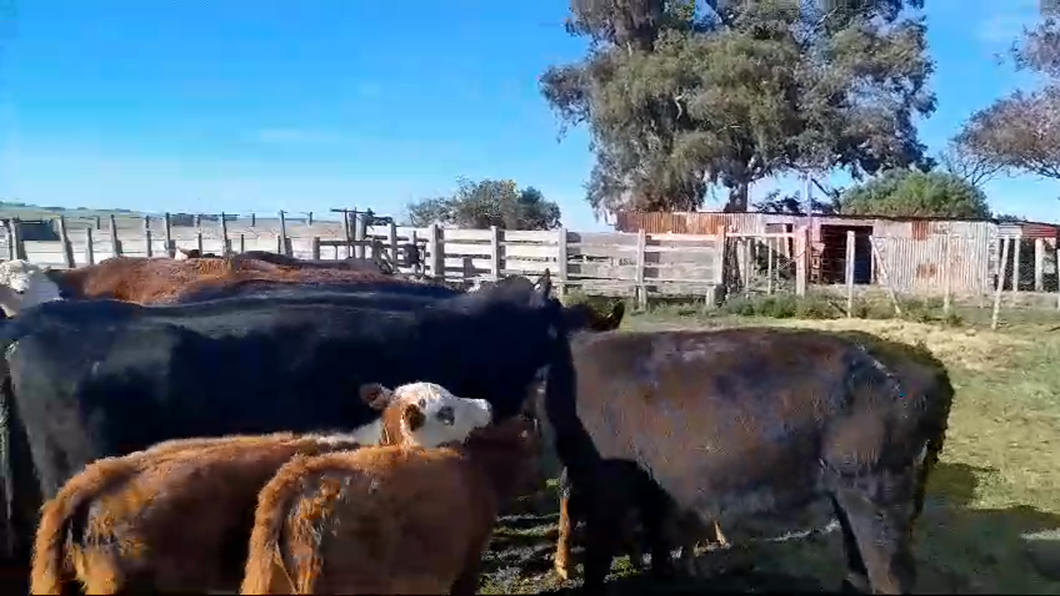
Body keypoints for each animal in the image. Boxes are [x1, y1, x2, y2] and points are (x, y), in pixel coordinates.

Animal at [546, 326, 953, 589]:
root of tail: (927, 363)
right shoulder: (651, 488)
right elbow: (658, 547)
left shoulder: (605, 486)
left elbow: (598, 560)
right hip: (852, 497)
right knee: (858, 571)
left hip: (877, 494)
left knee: (890, 578)